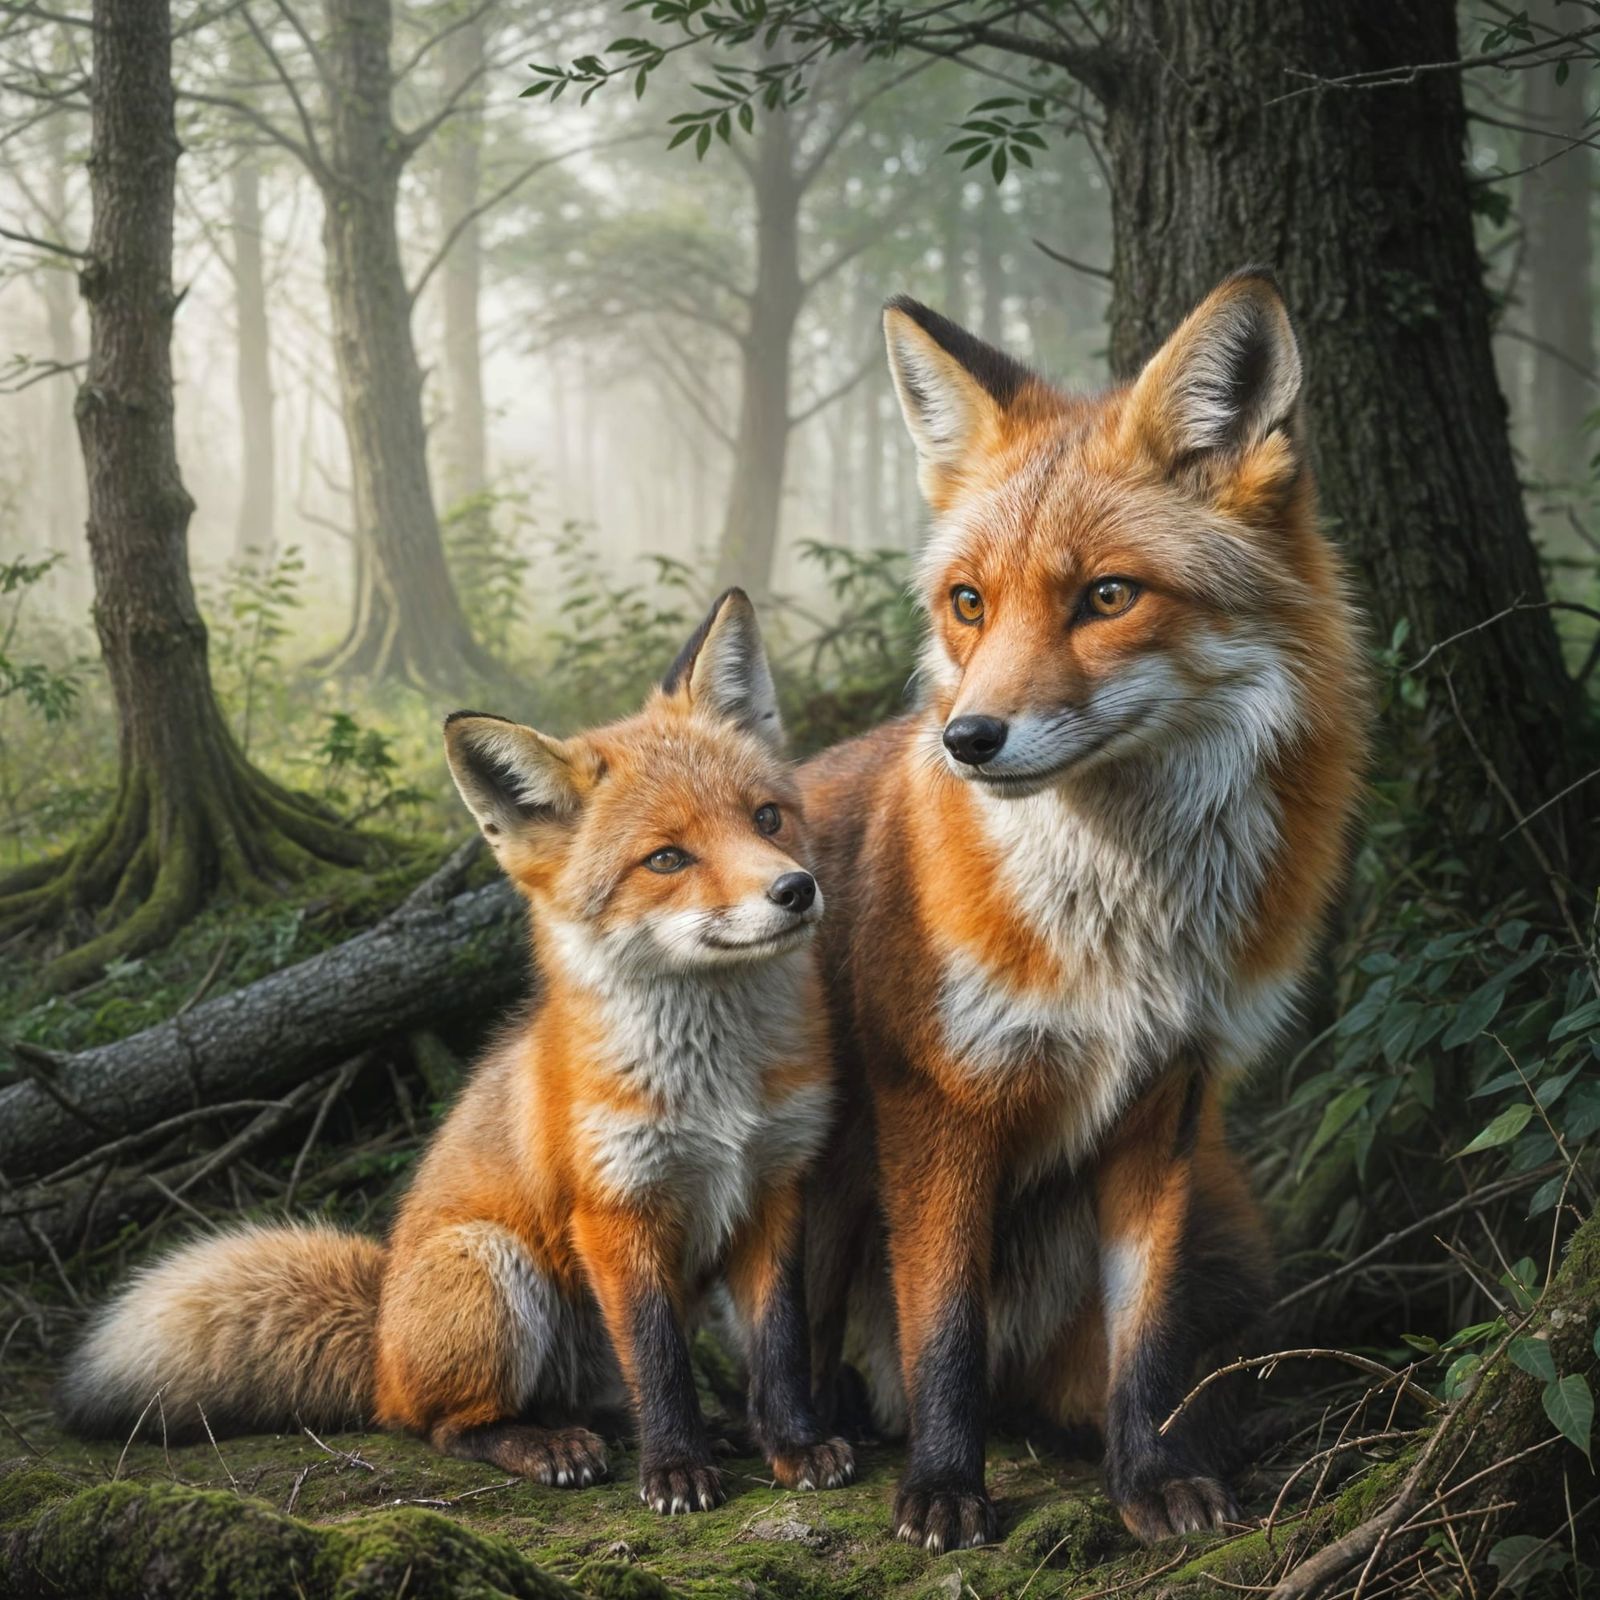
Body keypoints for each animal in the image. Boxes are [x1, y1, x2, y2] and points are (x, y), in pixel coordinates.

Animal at [59, 589, 854, 1512]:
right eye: (666, 858)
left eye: (766, 817)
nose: (794, 890)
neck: (717, 1085)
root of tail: (378, 1336)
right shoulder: (616, 1212)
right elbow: (660, 1365)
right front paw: (676, 1470)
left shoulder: (774, 1188)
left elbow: (779, 1346)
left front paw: (793, 1446)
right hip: (496, 1266)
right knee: (445, 1426)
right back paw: (547, 1447)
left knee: (590, 1400)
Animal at [801, 272, 1366, 1550]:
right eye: (967, 603)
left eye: (1106, 596)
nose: (967, 740)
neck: (1119, 927)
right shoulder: (942, 1098)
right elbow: (944, 1327)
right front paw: (944, 1487)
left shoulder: (1167, 1094)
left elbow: (1143, 1335)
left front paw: (1153, 1473)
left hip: (1228, 1219)